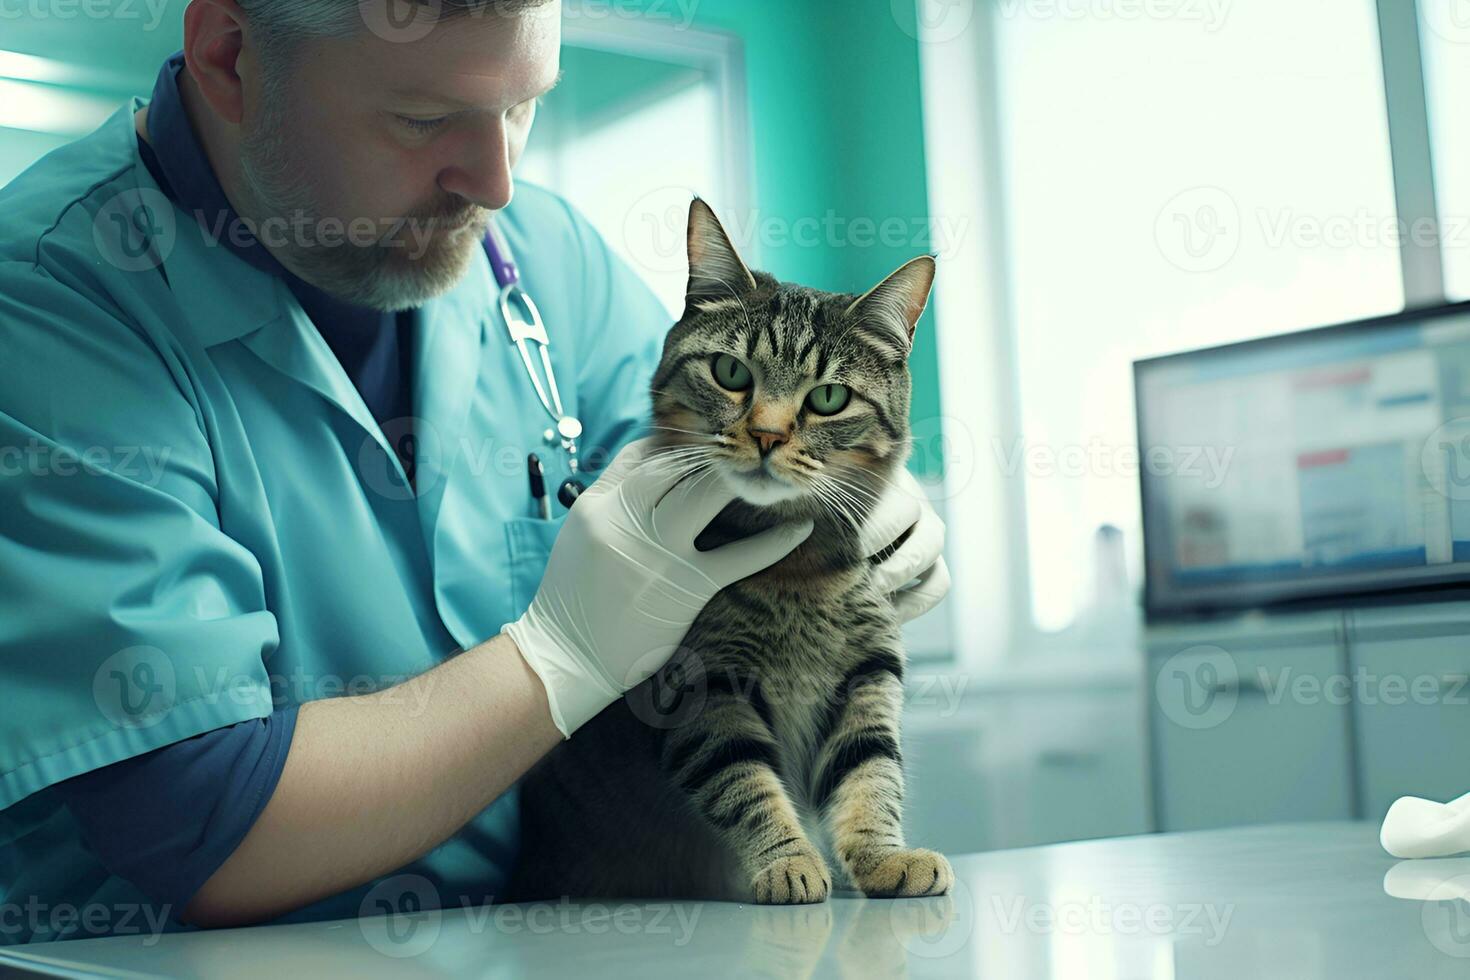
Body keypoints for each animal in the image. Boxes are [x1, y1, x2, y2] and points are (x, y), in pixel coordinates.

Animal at [508, 196, 952, 905]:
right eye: (731, 373)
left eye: (829, 398)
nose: (768, 435)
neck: (795, 573)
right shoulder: (703, 686)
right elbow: (743, 780)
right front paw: (788, 862)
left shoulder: (869, 672)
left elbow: (870, 772)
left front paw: (883, 857)